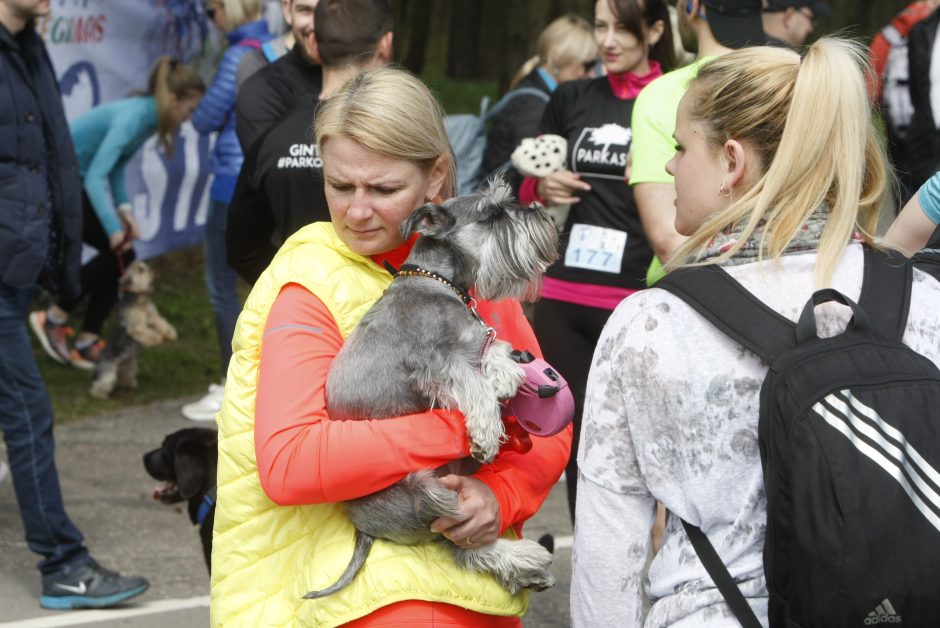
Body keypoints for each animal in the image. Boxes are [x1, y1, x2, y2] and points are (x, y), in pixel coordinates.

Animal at [304, 177, 560, 600]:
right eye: (492, 212)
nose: (546, 215)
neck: (437, 282)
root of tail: (363, 529)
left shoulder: (473, 342)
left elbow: (492, 349)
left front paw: (507, 370)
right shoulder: (435, 363)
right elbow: (473, 384)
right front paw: (487, 430)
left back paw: (526, 565)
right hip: (429, 493)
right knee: (459, 544)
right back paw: (524, 559)